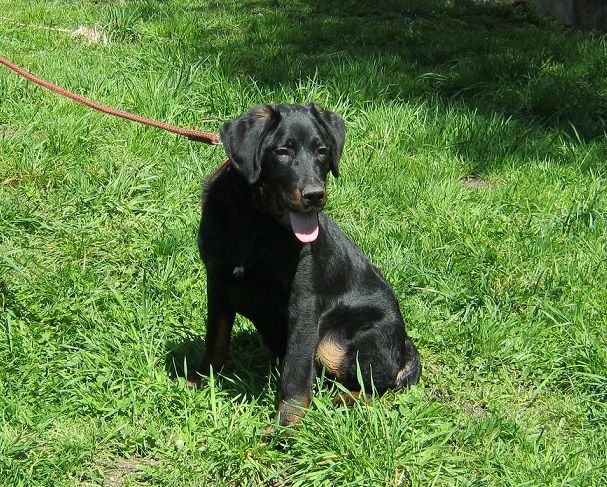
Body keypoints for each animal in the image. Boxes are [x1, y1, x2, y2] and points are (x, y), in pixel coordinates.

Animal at [189, 103, 420, 428]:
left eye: (322, 151)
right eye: (282, 152)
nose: (315, 195)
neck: (257, 221)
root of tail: (404, 348)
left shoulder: (304, 302)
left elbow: (296, 371)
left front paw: (288, 424)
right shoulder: (218, 281)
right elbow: (216, 339)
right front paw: (198, 380)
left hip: (333, 342)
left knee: (379, 384)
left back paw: (343, 401)